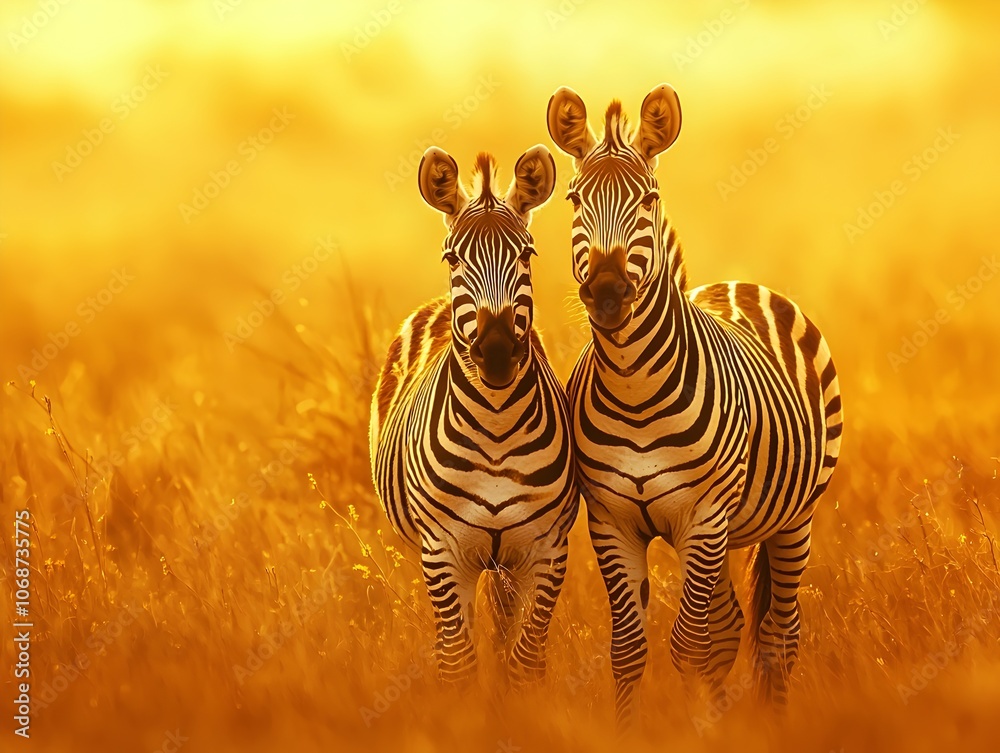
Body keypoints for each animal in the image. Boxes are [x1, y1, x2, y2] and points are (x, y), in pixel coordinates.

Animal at [369, 145, 579, 686]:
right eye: (452, 257)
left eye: (526, 254)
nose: (498, 352)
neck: (497, 427)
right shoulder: (443, 552)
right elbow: (458, 661)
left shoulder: (547, 550)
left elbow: (525, 661)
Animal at [546, 84, 843, 724]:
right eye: (575, 199)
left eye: (650, 199)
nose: (607, 293)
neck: (634, 390)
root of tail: (739, 284)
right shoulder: (611, 520)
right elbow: (630, 648)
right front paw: (637, 731)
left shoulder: (703, 515)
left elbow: (687, 646)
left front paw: (694, 730)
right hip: (730, 531)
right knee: (732, 625)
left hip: (795, 516)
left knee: (779, 633)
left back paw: (774, 722)